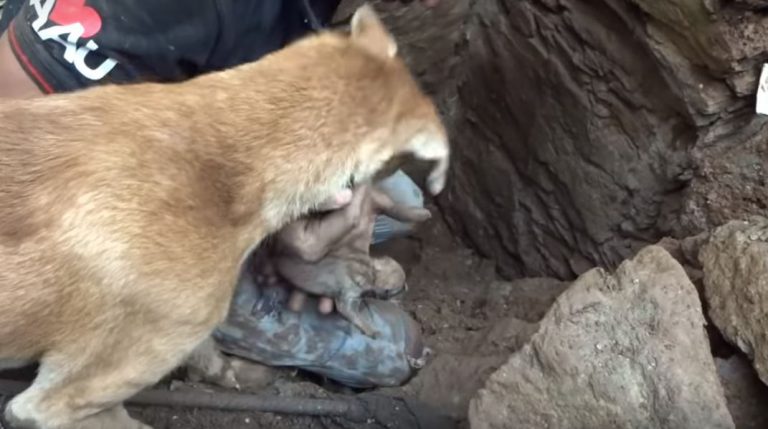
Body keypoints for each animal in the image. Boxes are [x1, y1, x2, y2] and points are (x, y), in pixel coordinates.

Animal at [272, 186, 428, 336]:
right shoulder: (347, 298)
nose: (407, 287)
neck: (370, 271)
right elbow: (353, 314)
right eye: (398, 289)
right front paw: (371, 330)